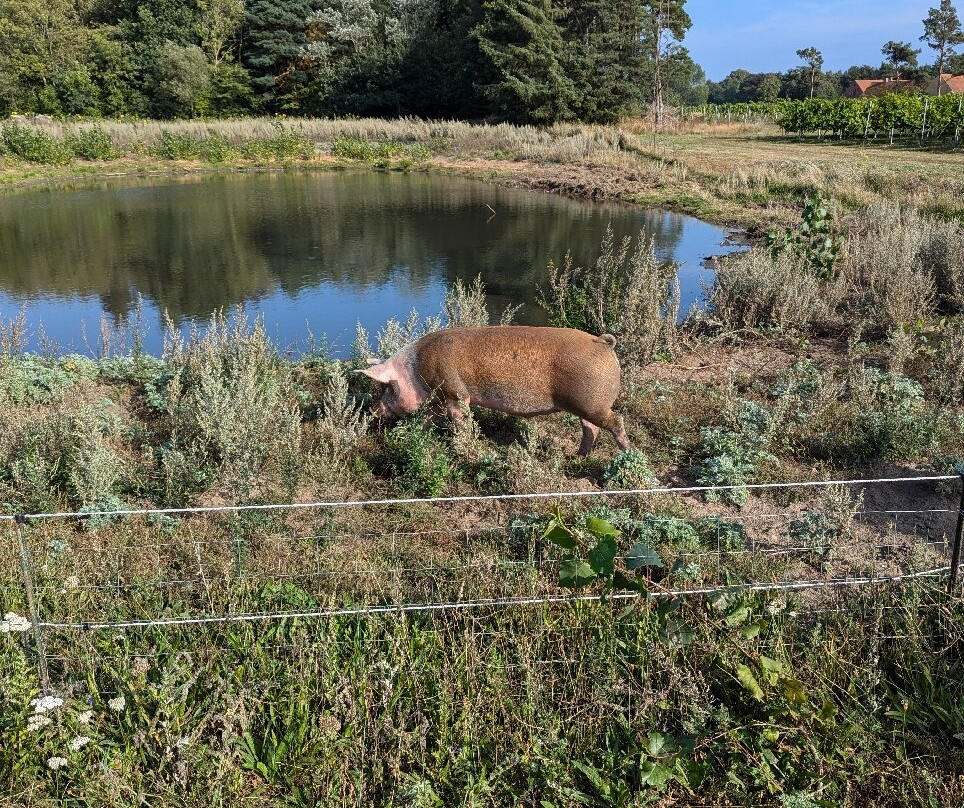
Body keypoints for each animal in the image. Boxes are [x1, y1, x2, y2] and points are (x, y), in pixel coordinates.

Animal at [358, 326, 628, 458]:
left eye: (386, 387)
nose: (372, 409)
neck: (416, 370)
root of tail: (603, 343)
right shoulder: (438, 399)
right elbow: (429, 418)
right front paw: (417, 434)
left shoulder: (456, 393)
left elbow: (460, 420)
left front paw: (464, 447)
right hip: (588, 405)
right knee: (590, 428)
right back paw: (578, 457)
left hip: (592, 403)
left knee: (616, 420)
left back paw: (628, 455)